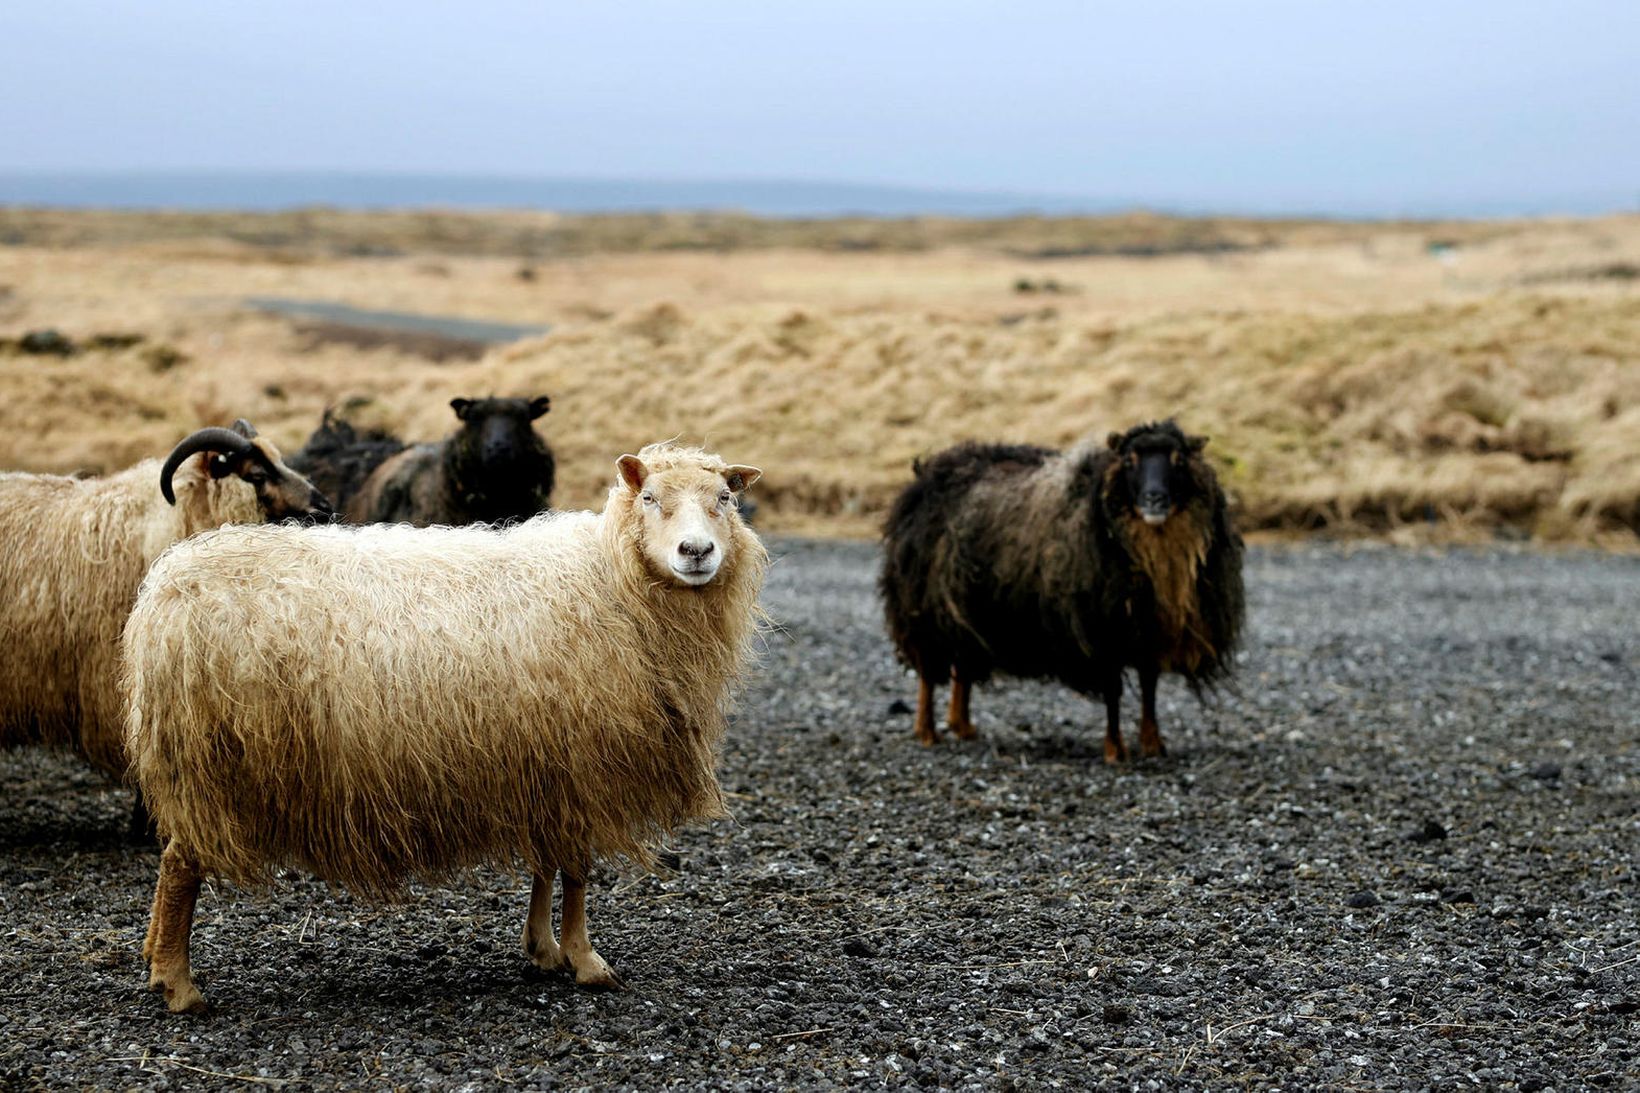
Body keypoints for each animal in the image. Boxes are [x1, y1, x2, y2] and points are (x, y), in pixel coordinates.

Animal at [124, 439, 764, 1010]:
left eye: (725, 500)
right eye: (651, 498)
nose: (697, 551)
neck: (611, 580)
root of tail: (167, 588)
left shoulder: (545, 759)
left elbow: (548, 861)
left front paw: (543, 949)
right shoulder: (583, 758)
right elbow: (578, 870)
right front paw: (586, 961)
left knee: (171, 863)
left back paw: (154, 963)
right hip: (206, 763)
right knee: (178, 866)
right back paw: (178, 986)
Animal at [885, 416, 1239, 758]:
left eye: (1179, 460)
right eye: (1130, 460)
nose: (1155, 498)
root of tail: (927, 473)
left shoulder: (1148, 631)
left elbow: (1149, 687)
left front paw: (1153, 745)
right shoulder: (1101, 632)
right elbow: (1113, 691)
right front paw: (1116, 751)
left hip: (964, 610)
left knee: (962, 665)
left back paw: (963, 726)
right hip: (923, 609)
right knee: (928, 673)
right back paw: (927, 732)